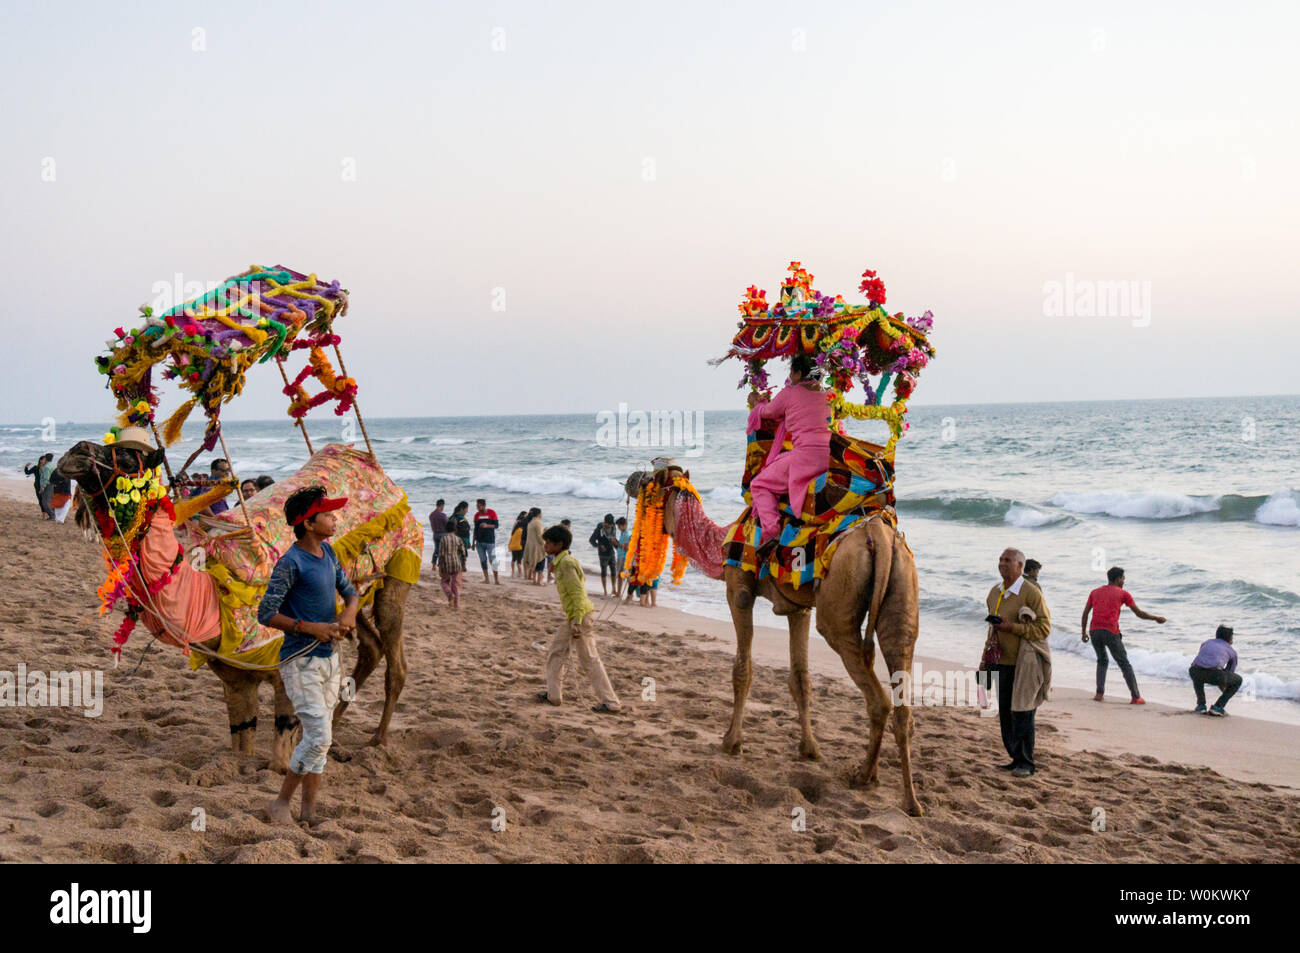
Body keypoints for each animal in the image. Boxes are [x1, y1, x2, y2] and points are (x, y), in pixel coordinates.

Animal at [57, 263, 421, 769]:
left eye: (129, 459)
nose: (72, 453)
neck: (208, 590)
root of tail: (365, 459)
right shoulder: (233, 673)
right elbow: (241, 739)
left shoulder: (280, 655)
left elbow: (281, 740)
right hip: (355, 590)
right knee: (368, 649)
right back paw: (339, 729)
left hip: (399, 565)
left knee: (395, 658)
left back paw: (377, 742)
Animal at [621, 263, 935, 816]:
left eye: (655, 476)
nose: (629, 479)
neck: (723, 537)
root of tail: (879, 535)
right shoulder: (798, 608)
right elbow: (800, 679)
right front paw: (809, 750)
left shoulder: (740, 590)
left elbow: (743, 668)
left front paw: (731, 742)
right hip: (901, 596)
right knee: (900, 694)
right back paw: (903, 796)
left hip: (840, 608)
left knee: (876, 695)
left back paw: (868, 776)